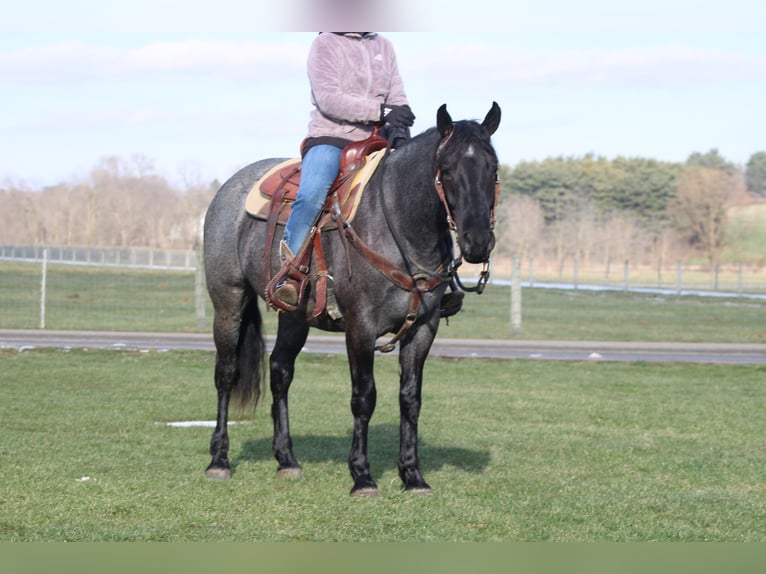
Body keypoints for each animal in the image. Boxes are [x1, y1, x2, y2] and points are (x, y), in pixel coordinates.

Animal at [202, 102, 501, 496]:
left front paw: (413, 475)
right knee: (226, 373)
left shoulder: (423, 329)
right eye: (447, 171)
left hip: (294, 316)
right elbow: (364, 398)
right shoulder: (360, 327)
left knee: (280, 371)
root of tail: (230, 188)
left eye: (492, 168)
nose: (477, 241)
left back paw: (287, 460)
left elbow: (410, 398)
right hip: (228, 300)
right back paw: (219, 460)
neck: (398, 227)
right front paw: (362, 475)